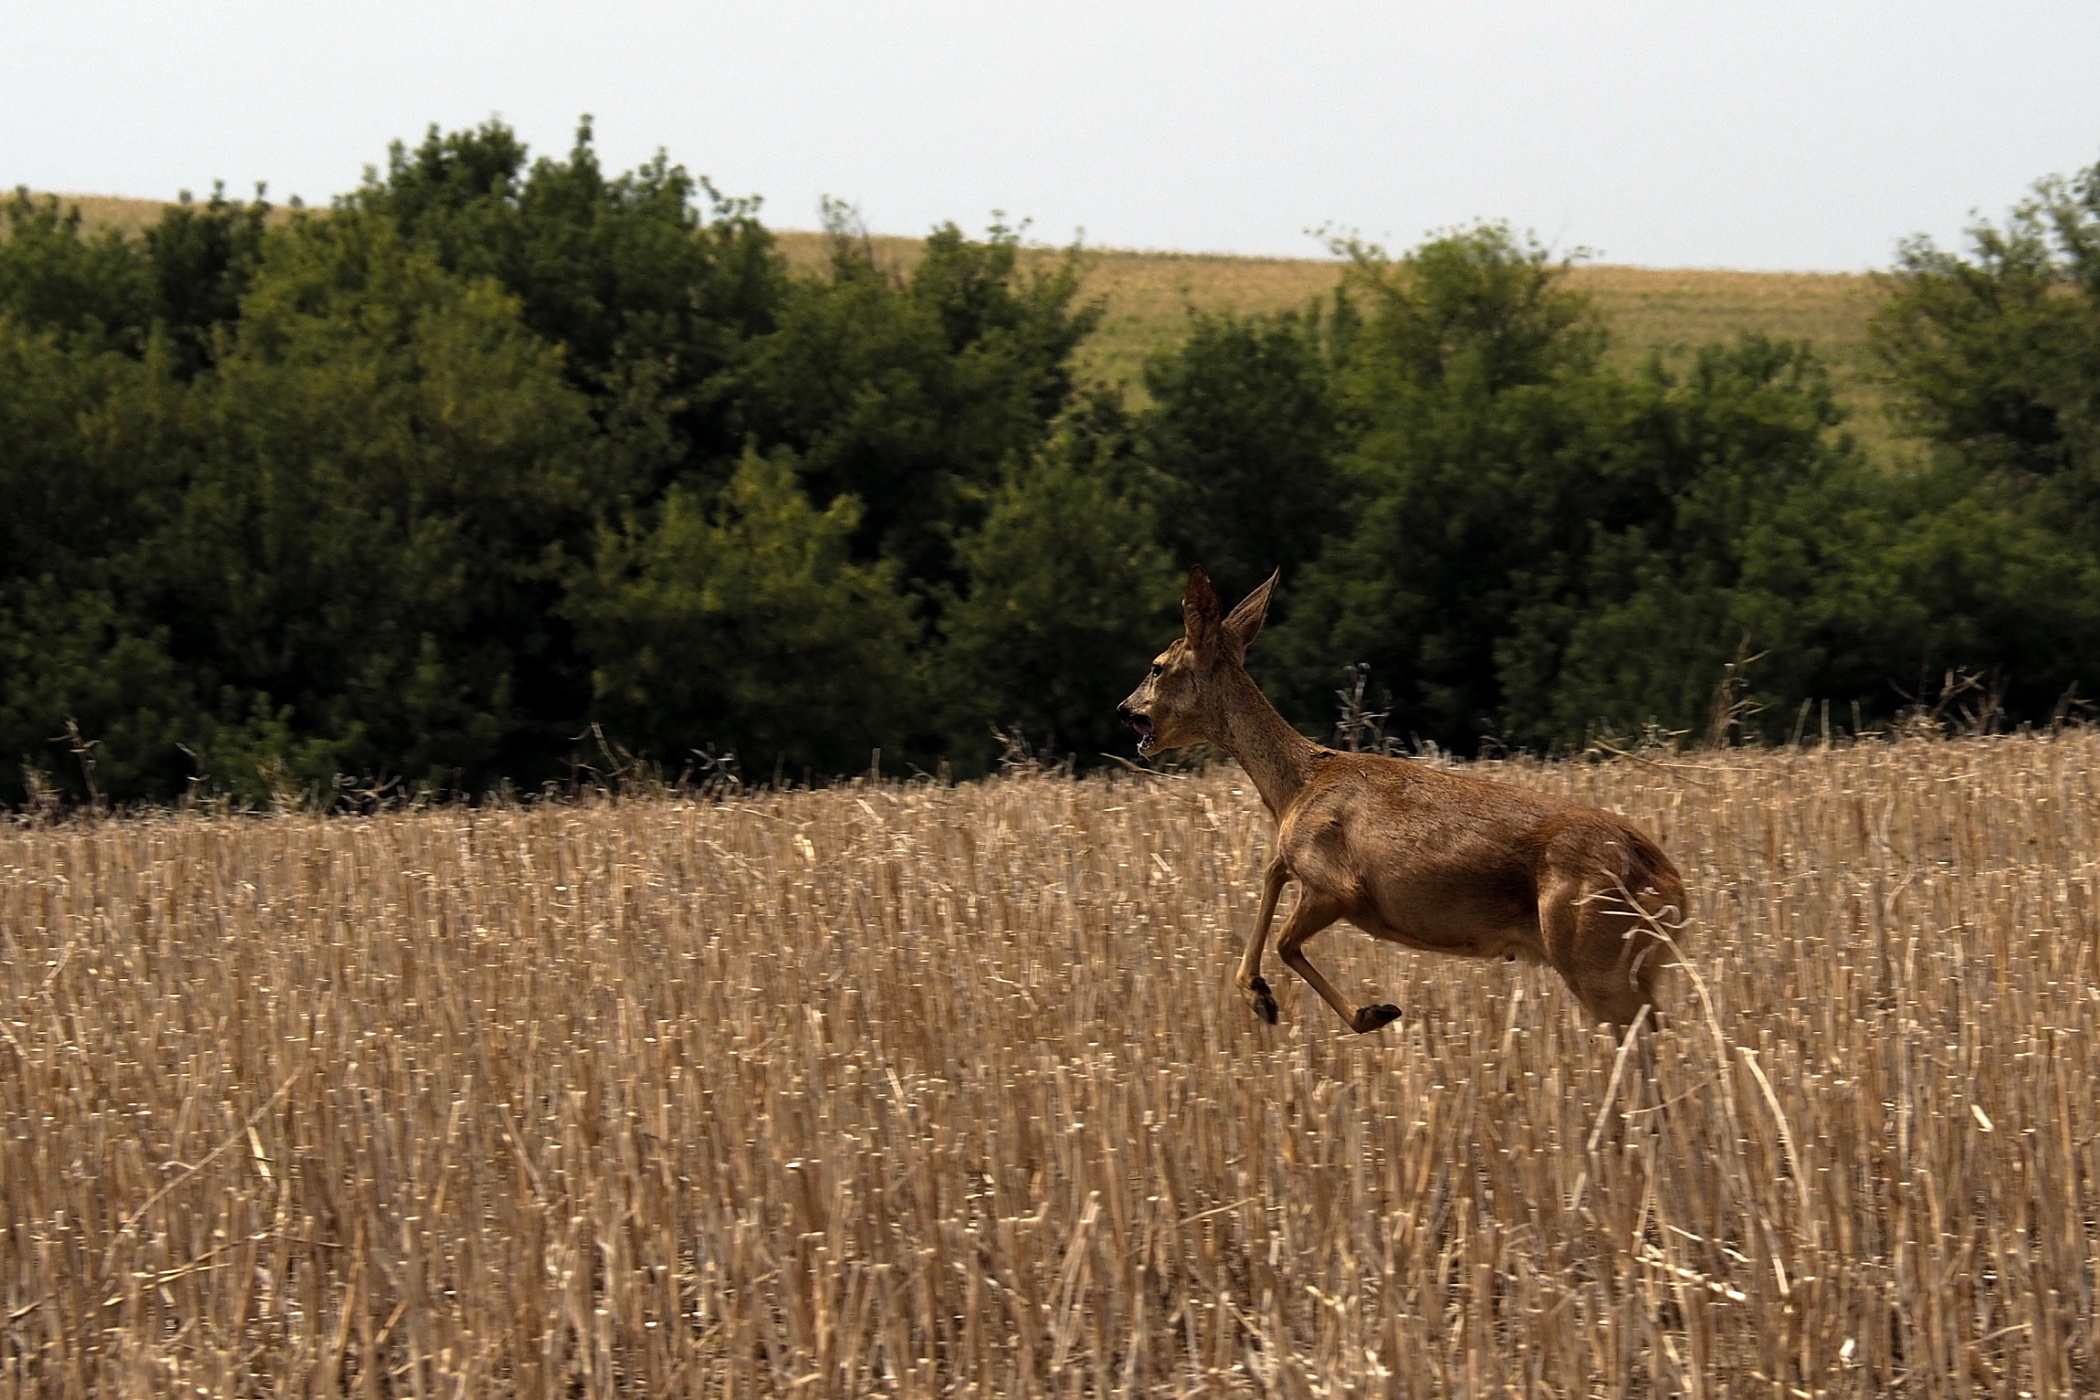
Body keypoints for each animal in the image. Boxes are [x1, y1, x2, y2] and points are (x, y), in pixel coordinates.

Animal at [1117, 562, 1688, 1036]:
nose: (1124, 709)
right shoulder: (1300, 863)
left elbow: (1285, 939)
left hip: (1594, 952)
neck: (1297, 786)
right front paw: (1260, 996)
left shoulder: (1338, 885)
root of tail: (1676, 892)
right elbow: (1271, 877)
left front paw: (1369, 1012)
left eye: (1156, 666)